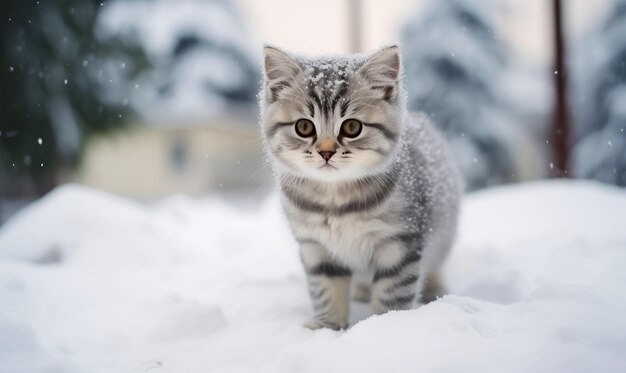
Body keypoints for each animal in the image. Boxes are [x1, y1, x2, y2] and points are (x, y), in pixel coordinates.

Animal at [260, 45, 464, 328]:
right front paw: (327, 327)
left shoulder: (400, 243)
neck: (335, 201)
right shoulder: (316, 246)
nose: (326, 152)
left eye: (351, 126)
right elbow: (326, 290)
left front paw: (382, 326)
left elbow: (392, 293)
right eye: (304, 127)